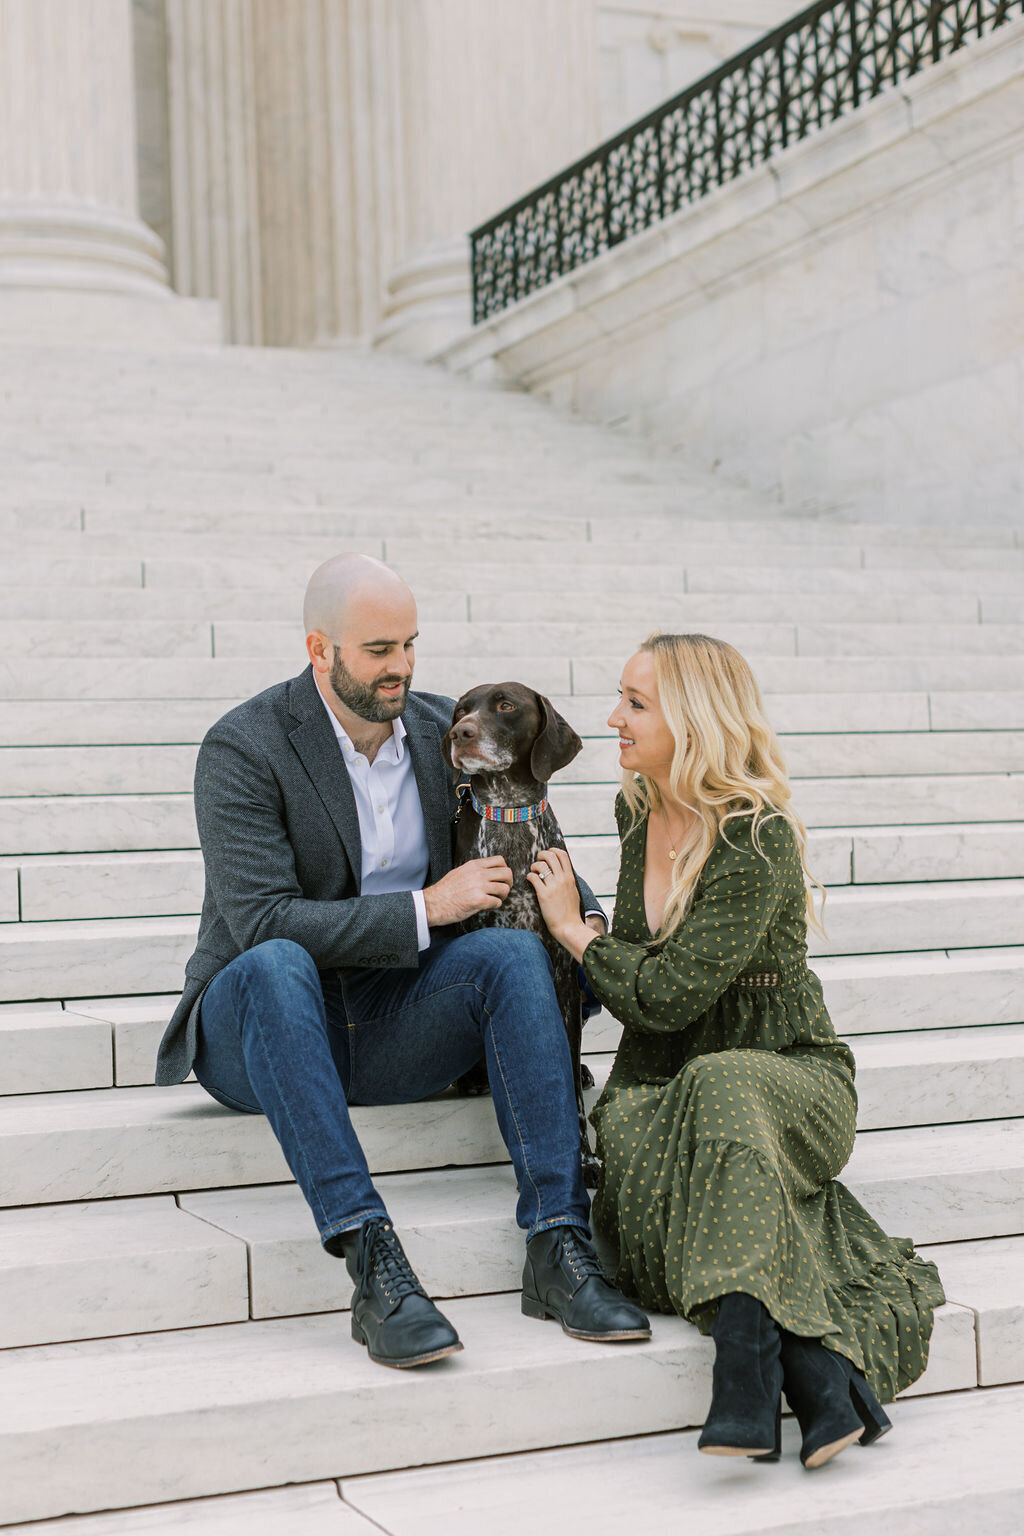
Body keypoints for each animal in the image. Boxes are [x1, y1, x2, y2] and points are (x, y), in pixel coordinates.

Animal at [445, 685, 604, 1185]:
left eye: (506, 705)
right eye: (461, 710)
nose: (460, 733)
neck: (510, 811)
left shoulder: (564, 977)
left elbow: (568, 1082)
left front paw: (585, 1159)